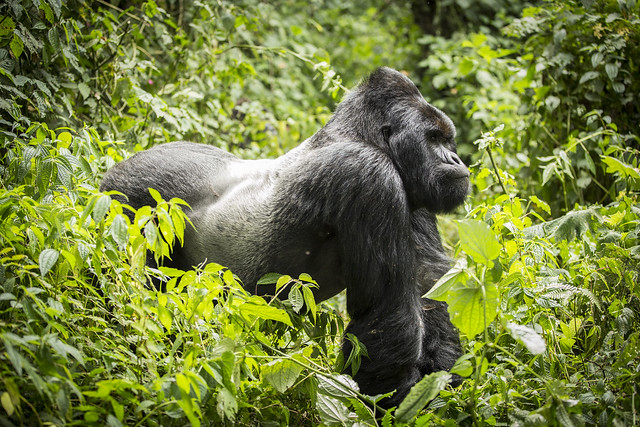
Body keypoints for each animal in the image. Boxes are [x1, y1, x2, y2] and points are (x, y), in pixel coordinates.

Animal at [100, 67, 470, 408]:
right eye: (433, 139)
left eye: (446, 139)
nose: (456, 160)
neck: (358, 136)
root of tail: (116, 167)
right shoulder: (368, 174)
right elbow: (389, 315)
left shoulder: (413, 187)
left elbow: (429, 283)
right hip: (126, 200)